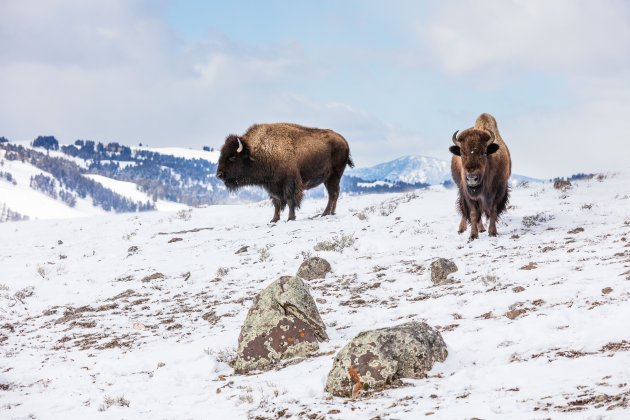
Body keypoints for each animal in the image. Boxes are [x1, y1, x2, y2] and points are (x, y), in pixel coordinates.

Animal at [217, 122, 356, 223]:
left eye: (232, 157)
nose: (219, 174)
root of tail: (343, 140)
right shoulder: (272, 186)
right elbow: (276, 202)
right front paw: (274, 219)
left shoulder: (289, 182)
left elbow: (290, 200)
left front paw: (290, 218)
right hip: (329, 178)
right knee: (334, 193)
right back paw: (330, 213)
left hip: (334, 175)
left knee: (333, 194)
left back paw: (325, 213)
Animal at [450, 112, 512, 240]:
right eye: (462, 153)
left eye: (484, 152)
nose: (472, 179)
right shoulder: (468, 194)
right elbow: (473, 214)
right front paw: (473, 235)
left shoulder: (499, 191)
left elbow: (493, 211)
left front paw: (492, 232)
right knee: (464, 211)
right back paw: (462, 228)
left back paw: (482, 229)